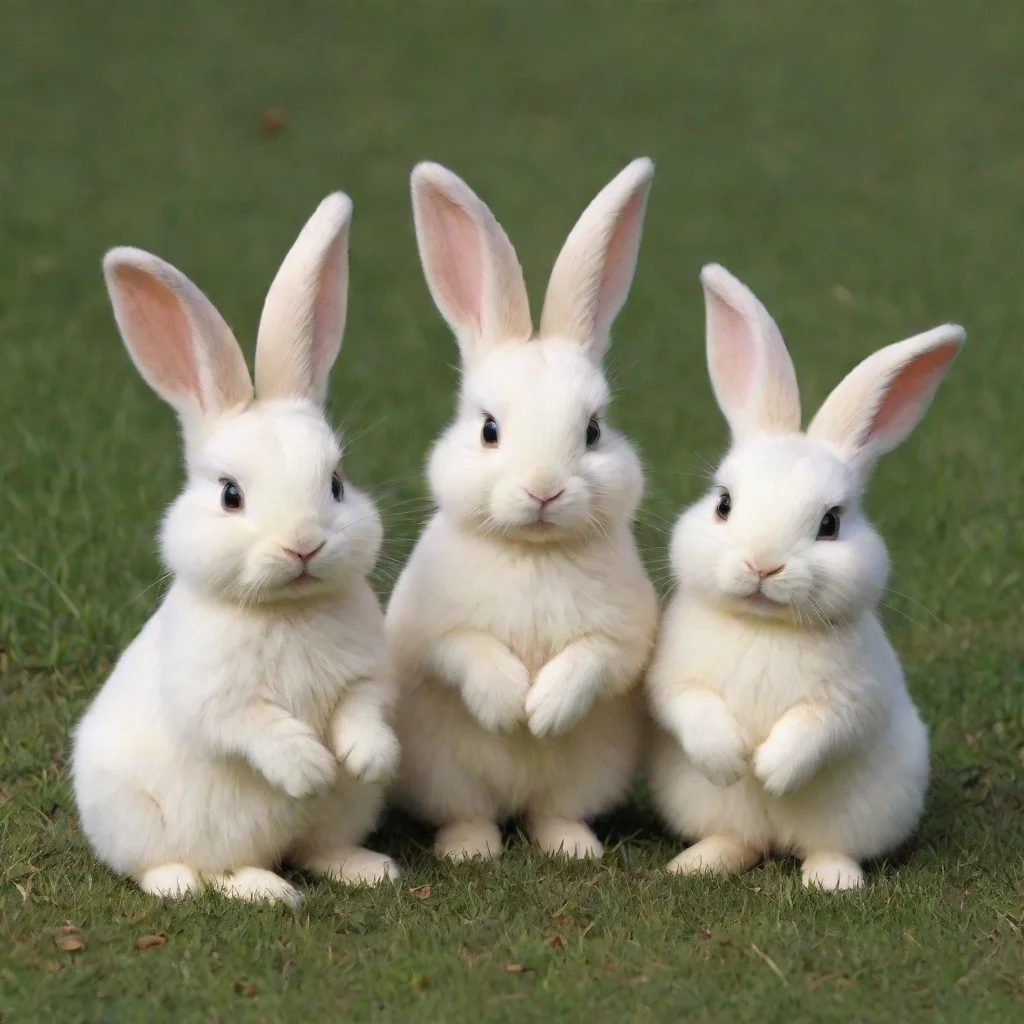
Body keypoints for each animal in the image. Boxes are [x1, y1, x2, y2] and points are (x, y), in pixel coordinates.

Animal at [71, 193, 401, 906]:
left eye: (336, 483)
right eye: (230, 495)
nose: (303, 544)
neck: (288, 609)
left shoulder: (370, 675)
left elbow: (364, 706)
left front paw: (364, 757)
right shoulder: (213, 698)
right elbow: (254, 726)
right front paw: (309, 767)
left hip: (341, 818)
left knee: (314, 848)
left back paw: (367, 868)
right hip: (145, 818)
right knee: (201, 869)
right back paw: (244, 888)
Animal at [385, 158, 660, 862]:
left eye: (593, 431)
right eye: (488, 429)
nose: (543, 490)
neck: (534, 554)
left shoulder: (625, 638)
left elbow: (593, 658)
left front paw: (544, 710)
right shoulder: (430, 634)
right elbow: (466, 650)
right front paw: (511, 704)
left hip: (589, 774)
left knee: (552, 812)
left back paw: (573, 847)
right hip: (444, 777)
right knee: (470, 813)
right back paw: (470, 850)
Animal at [647, 264, 965, 890]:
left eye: (830, 524)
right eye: (723, 504)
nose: (762, 563)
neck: (764, 627)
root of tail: (778, 842)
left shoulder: (857, 696)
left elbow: (822, 727)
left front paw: (771, 769)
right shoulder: (672, 676)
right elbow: (686, 705)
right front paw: (733, 758)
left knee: (828, 847)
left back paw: (833, 881)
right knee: (737, 839)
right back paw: (696, 864)